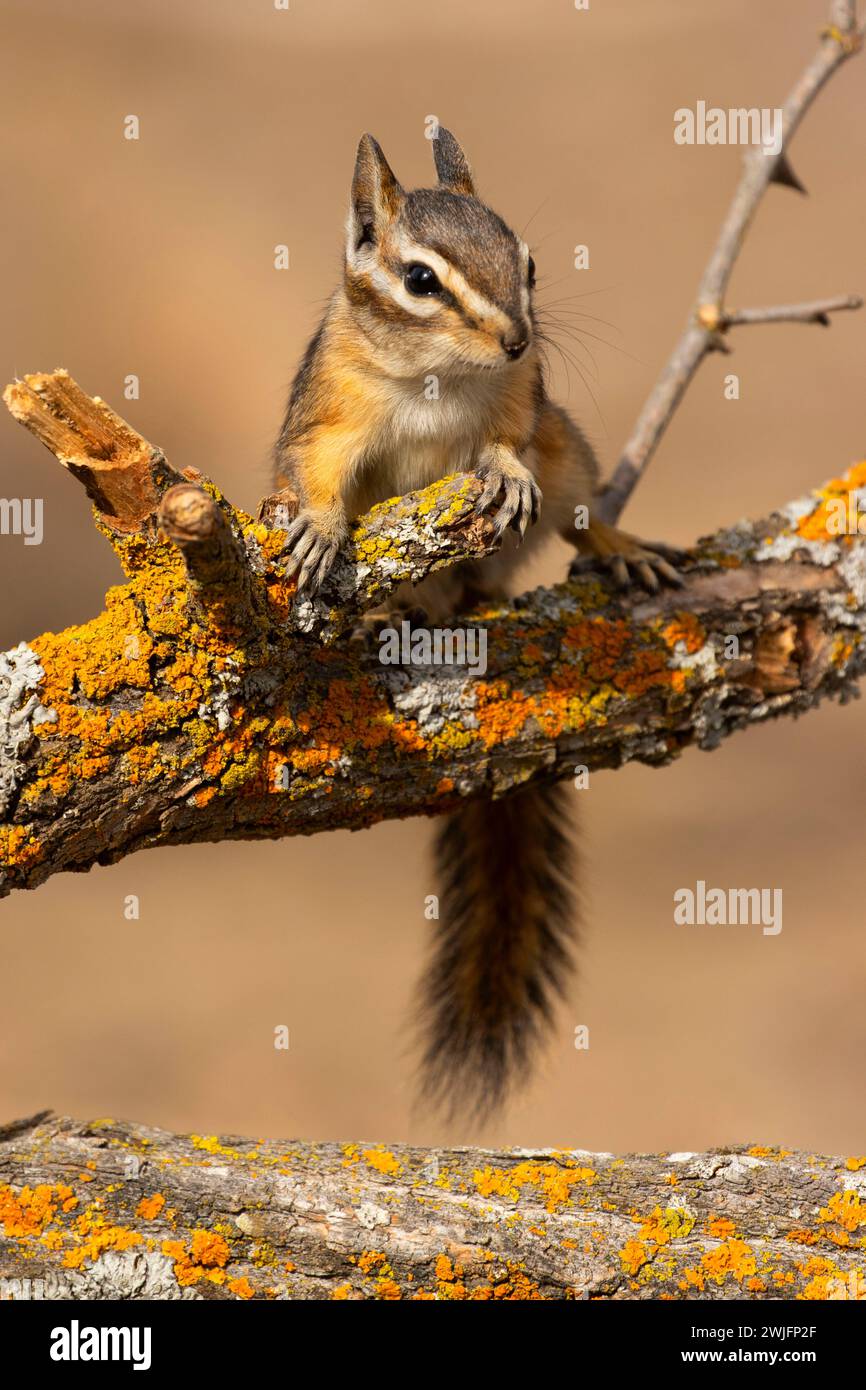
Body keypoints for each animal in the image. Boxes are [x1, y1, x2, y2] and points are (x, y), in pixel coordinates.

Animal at [274, 127, 682, 1117]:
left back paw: (621, 547)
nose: (517, 337)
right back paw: (391, 604)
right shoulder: (329, 416)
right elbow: (316, 473)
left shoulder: (522, 400)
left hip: (569, 444)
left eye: (528, 263)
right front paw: (318, 529)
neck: (436, 378)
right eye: (420, 280)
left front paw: (503, 473)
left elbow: (507, 446)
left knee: (576, 506)